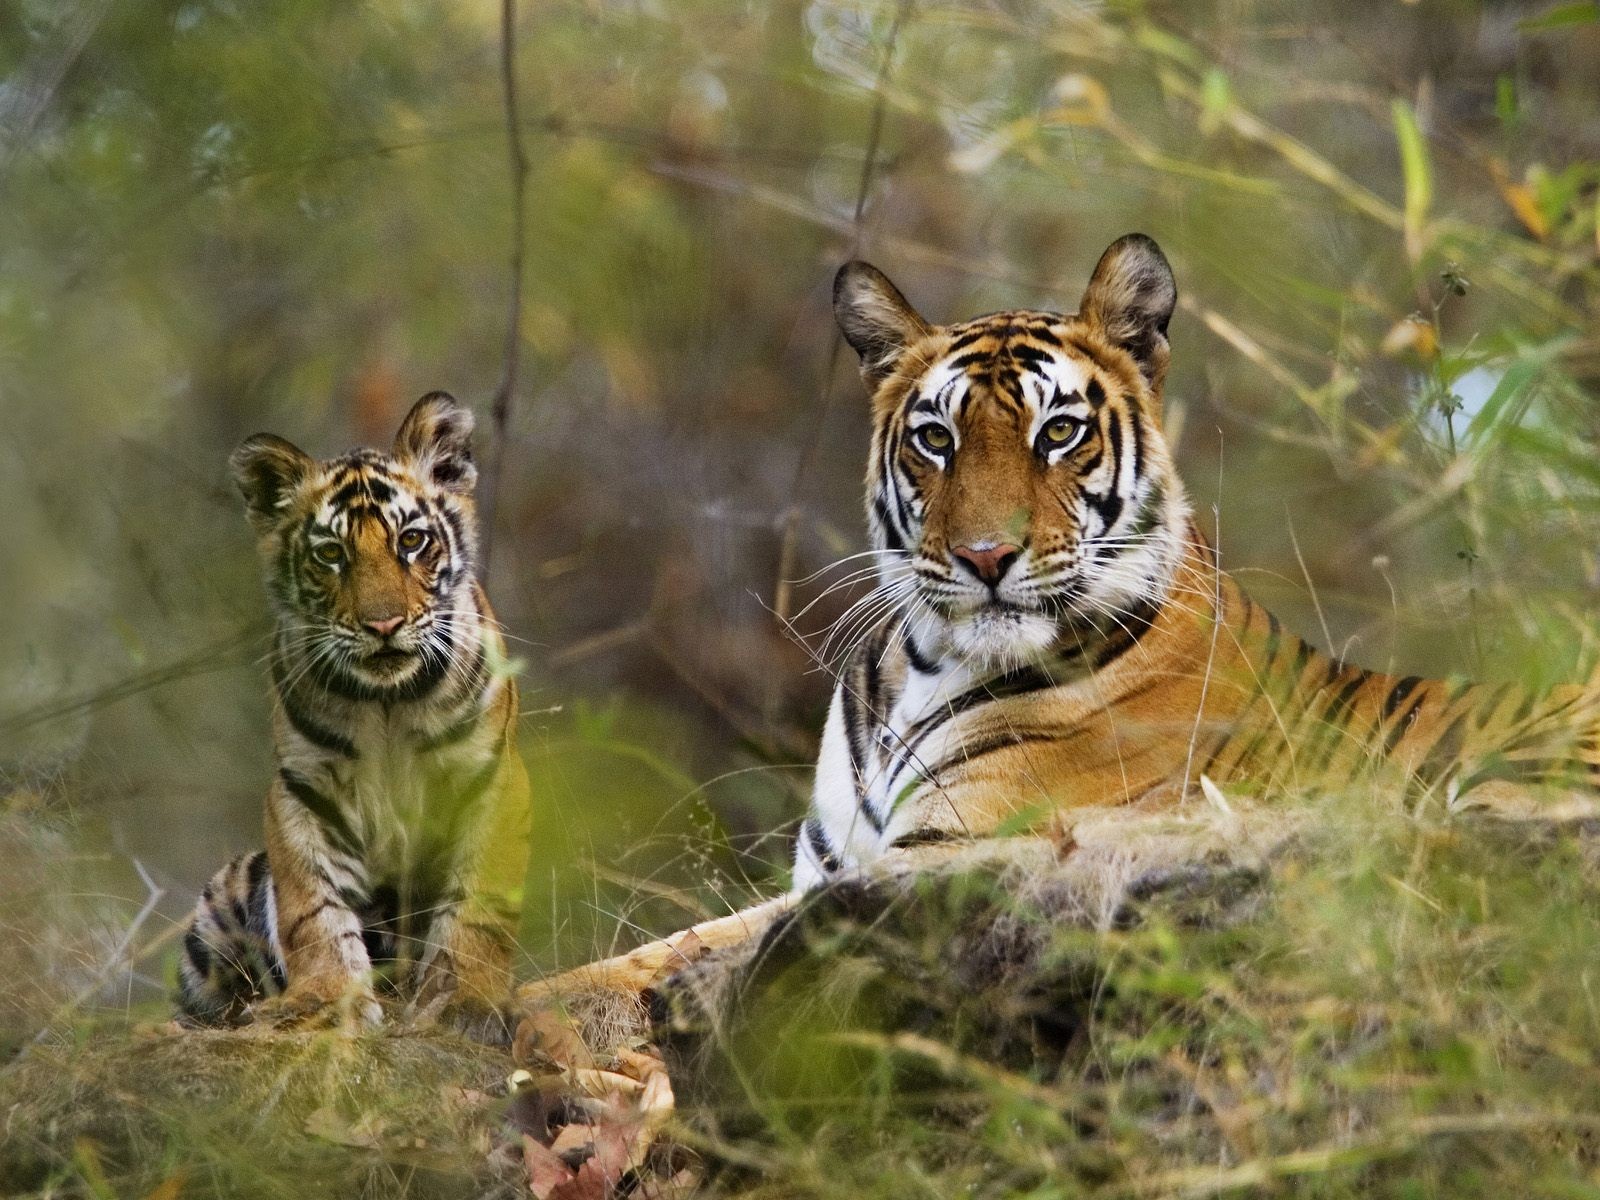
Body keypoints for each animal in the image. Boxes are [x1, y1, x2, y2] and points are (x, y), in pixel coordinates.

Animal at [177, 392, 530, 1042]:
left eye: (411, 541)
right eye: (331, 554)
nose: (383, 624)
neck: (388, 702)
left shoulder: (491, 780)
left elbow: (478, 911)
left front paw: (466, 1004)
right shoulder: (304, 791)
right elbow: (313, 909)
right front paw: (326, 1001)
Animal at [518, 233, 1600, 1019]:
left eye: (1059, 432)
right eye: (935, 438)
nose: (986, 557)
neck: (920, 667)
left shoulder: (937, 861)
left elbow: (673, 959)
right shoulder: (835, 867)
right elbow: (646, 952)